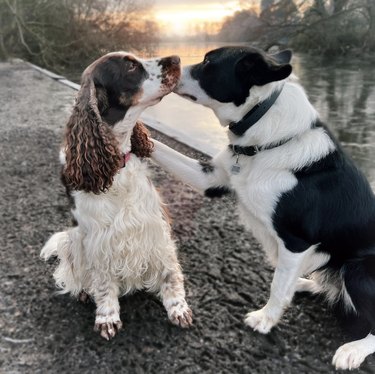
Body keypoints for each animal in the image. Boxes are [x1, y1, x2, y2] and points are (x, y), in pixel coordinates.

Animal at [151, 46, 375, 368]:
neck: (262, 125)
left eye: (208, 63)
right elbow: (158, 146)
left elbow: (277, 287)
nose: (171, 67)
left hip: (359, 269)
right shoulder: (212, 179)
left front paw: (265, 320)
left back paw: (353, 349)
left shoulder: (296, 241)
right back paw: (306, 284)